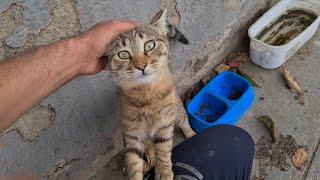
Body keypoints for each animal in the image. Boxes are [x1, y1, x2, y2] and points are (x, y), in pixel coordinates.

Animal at [106, 9, 195, 180]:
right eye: (123, 55)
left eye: (149, 45)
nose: (141, 66)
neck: (146, 94)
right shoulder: (132, 135)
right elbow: (133, 163)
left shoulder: (165, 124)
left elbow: (164, 149)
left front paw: (164, 171)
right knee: (148, 142)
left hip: (177, 110)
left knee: (184, 120)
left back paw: (191, 134)